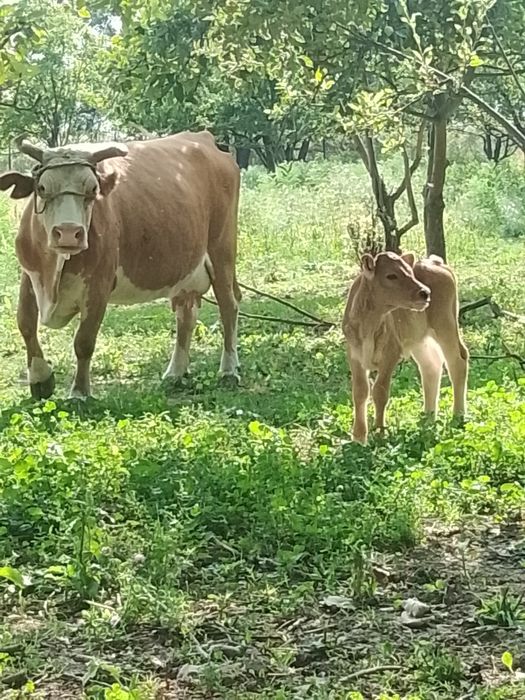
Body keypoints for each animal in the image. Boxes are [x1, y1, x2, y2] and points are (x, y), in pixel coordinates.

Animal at [0, 131, 241, 399]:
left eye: (93, 189)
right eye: (42, 189)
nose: (68, 232)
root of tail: (205, 138)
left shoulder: (100, 283)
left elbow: (84, 341)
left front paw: (79, 393)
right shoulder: (30, 274)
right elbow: (25, 323)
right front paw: (41, 378)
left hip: (222, 251)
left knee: (228, 306)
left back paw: (229, 370)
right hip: (185, 270)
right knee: (186, 315)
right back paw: (175, 373)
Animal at [342, 251, 469, 444]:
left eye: (410, 272)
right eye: (391, 275)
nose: (425, 292)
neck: (368, 325)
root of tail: (437, 262)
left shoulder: (391, 352)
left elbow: (380, 390)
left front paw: (379, 433)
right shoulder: (354, 354)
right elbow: (360, 391)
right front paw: (359, 437)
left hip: (446, 323)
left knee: (457, 362)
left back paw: (458, 416)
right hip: (420, 339)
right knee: (431, 365)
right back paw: (428, 419)